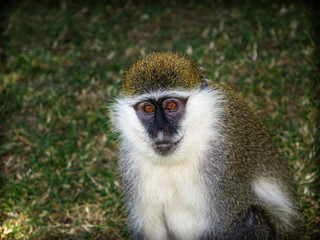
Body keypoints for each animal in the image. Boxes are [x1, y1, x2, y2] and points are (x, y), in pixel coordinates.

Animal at [112, 51, 300, 239]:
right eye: (148, 109)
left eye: (171, 105)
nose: (160, 131)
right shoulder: (131, 162)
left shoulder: (222, 159)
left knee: (251, 219)